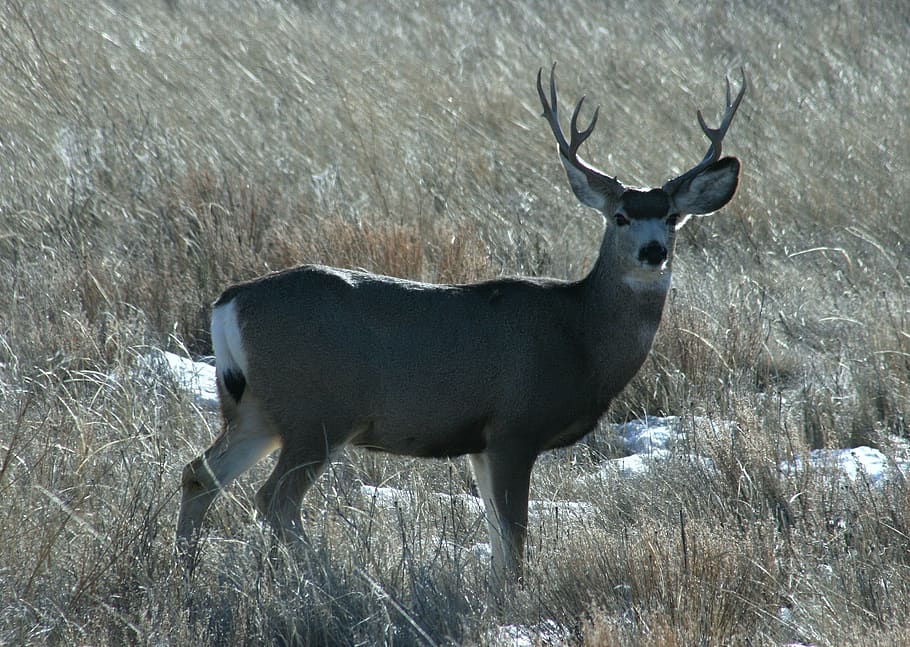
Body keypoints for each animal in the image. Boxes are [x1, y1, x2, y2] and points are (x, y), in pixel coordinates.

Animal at [176, 64, 748, 584]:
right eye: (620, 217)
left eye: (672, 217)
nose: (654, 252)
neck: (580, 335)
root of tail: (228, 301)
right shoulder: (515, 425)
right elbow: (514, 536)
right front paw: (515, 600)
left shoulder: (479, 441)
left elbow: (497, 535)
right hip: (317, 410)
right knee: (273, 499)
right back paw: (328, 576)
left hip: (256, 408)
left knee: (200, 473)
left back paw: (186, 570)